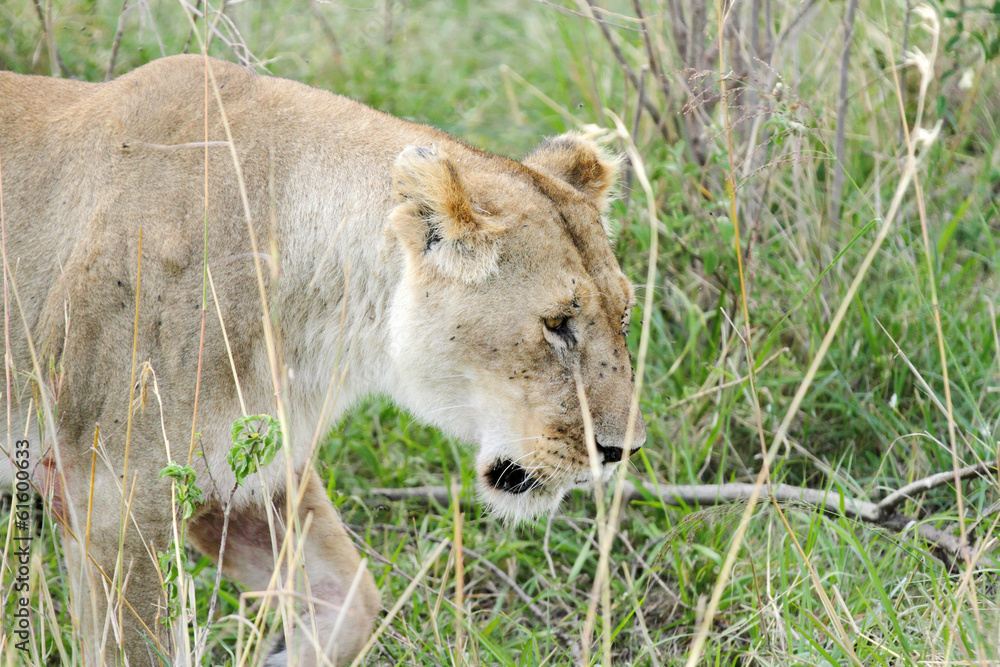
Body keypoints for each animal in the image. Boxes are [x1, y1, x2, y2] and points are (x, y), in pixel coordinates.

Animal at [0, 55, 646, 665]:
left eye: (624, 314)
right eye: (556, 325)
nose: (621, 451)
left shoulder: (252, 472)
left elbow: (353, 598)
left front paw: (283, 652)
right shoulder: (112, 495)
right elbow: (140, 648)